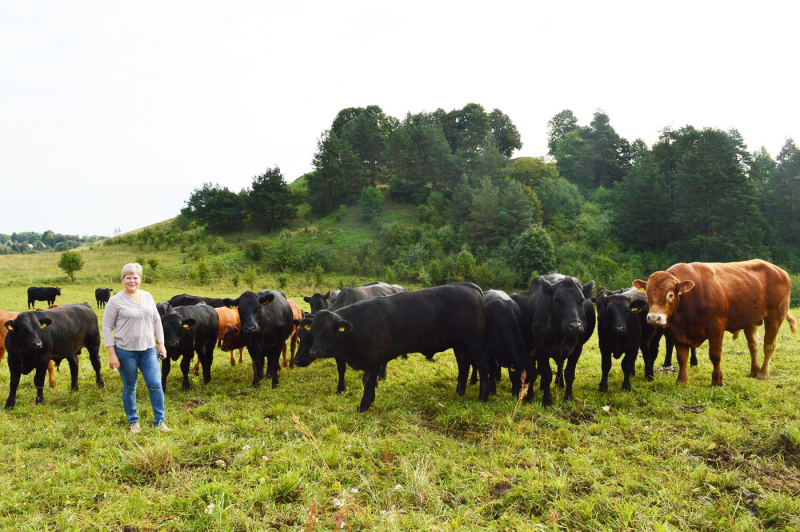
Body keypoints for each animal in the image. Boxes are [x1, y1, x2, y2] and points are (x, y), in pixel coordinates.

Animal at [296, 282, 488, 412]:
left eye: (328, 331)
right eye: (311, 333)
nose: (313, 352)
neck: (360, 323)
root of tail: (468, 286)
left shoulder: (373, 360)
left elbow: (368, 383)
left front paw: (363, 406)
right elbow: (367, 381)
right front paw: (370, 401)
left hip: (475, 345)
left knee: (482, 368)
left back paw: (483, 397)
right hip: (460, 346)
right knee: (463, 367)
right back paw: (459, 393)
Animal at [636, 260, 796, 384]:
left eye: (670, 294)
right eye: (647, 294)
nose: (654, 318)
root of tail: (779, 270)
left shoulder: (716, 328)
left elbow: (715, 355)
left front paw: (717, 380)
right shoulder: (677, 332)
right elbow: (681, 357)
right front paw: (681, 380)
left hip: (775, 316)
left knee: (769, 345)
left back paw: (762, 373)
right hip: (750, 320)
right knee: (753, 344)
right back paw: (754, 370)